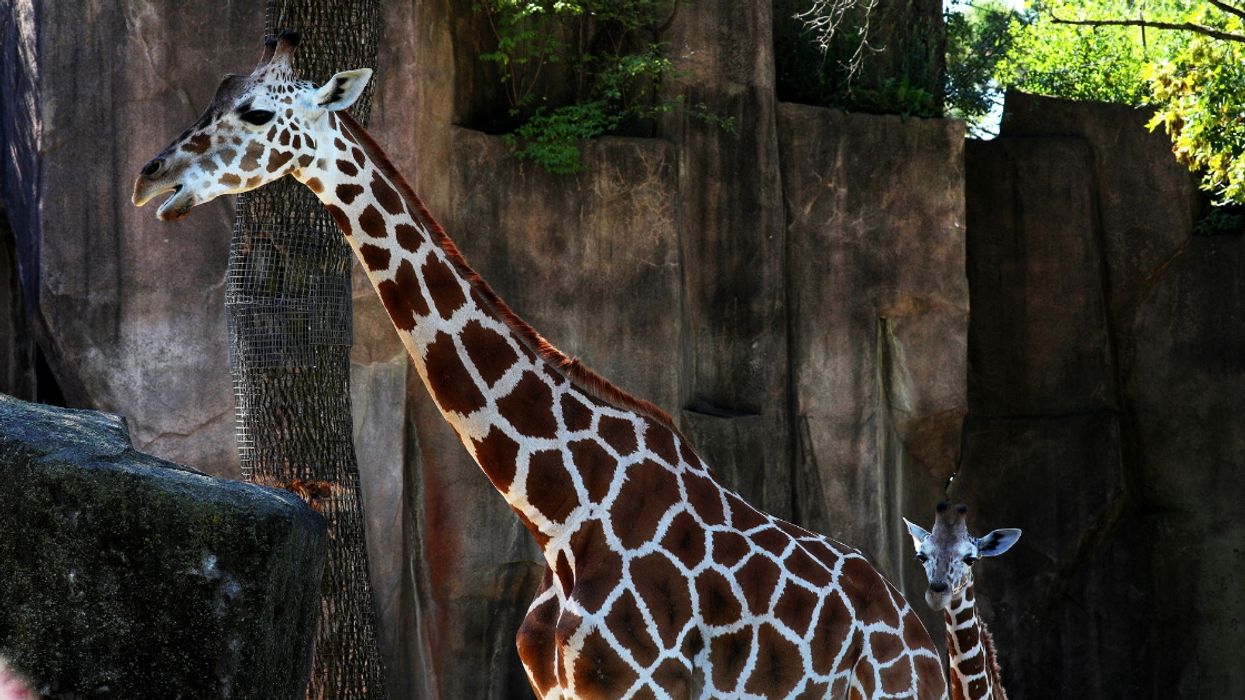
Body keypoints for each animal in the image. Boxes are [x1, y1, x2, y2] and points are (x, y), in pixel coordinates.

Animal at [133, 32, 948, 699]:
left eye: (256, 115)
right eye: (212, 96)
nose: (149, 179)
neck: (561, 516)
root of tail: (922, 643)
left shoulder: (640, 689)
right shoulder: (560, 689)